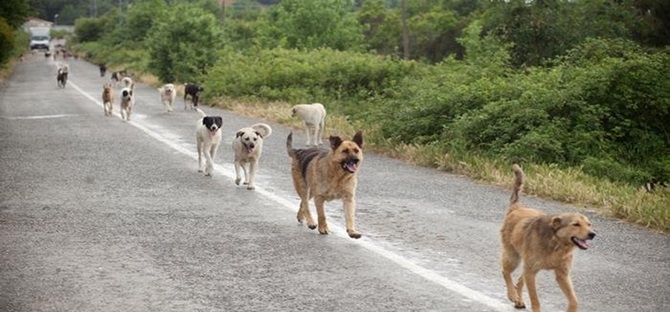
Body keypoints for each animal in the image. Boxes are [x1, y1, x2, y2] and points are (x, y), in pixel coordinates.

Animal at [498, 165, 600, 310]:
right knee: (505, 272)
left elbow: (574, 300)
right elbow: (535, 300)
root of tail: (517, 207)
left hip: (526, 264)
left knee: (519, 281)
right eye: (576, 224)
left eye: (589, 224)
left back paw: (519, 300)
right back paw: (512, 295)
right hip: (513, 257)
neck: (556, 244)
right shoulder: (531, 272)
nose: (592, 234)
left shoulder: (563, 275)